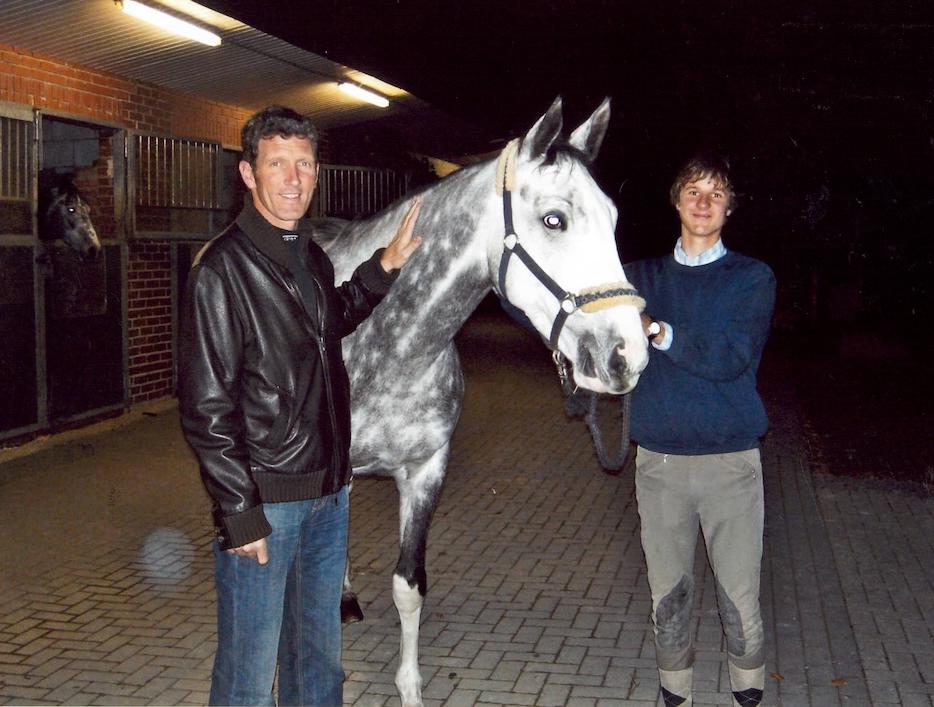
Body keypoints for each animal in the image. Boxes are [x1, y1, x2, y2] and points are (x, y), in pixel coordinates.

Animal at [318, 97, 648, 704]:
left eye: (613, 220)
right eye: (554, 219)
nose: (627, 354)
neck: (388, 347)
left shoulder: (426, 470)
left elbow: (408, 587)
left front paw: (410, 688)